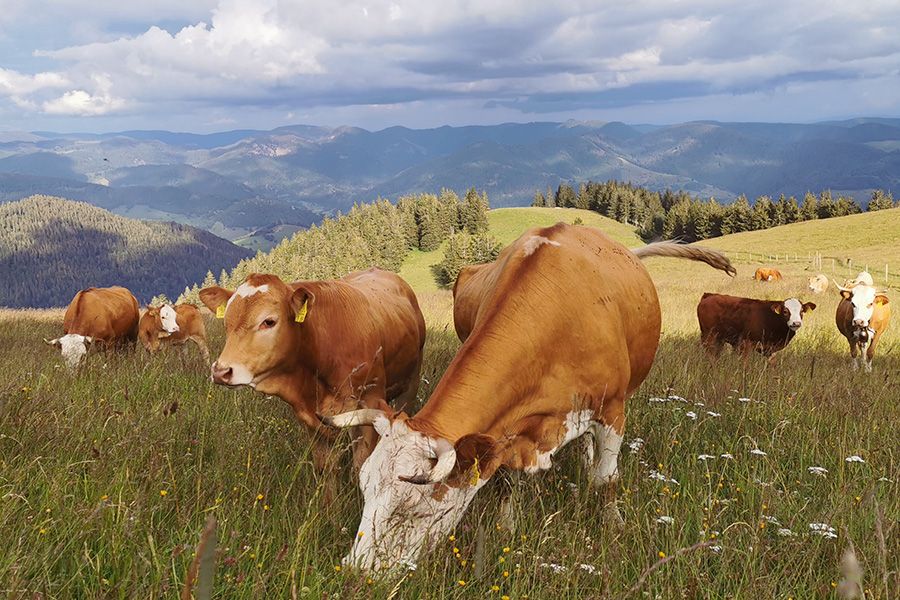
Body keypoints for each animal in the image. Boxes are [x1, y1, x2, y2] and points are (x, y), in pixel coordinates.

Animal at [200, 270, 426, 486]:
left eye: (269, 321)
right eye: (226, 323)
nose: (220, 371)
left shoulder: (369, 400)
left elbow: (361, 465)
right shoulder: (310, 418)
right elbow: (325, 469)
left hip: (410, 385)